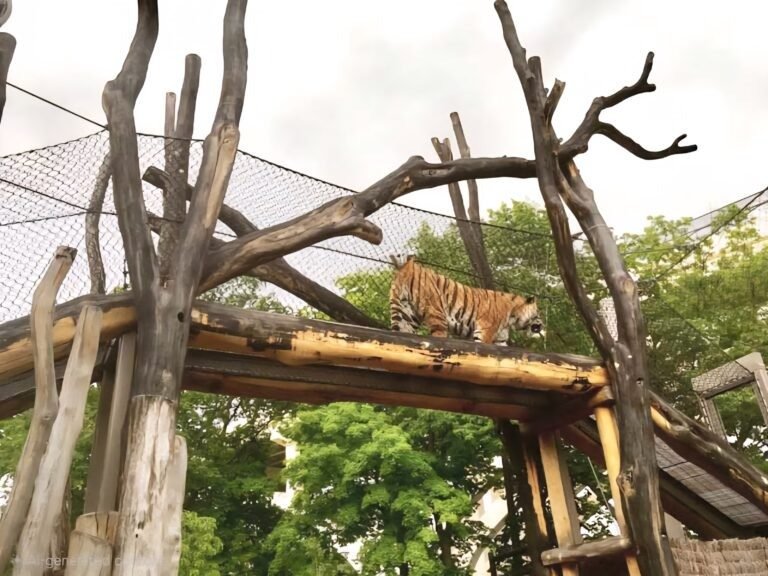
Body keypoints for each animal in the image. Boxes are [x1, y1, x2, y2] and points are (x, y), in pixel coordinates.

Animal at [388, 254, 544, 345]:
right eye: (538, 313)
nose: (542, 324)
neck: (512, 316)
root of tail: (406, 266)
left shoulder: (500, 339)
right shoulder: (485, 331)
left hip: (404, 315)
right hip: (436, 313)